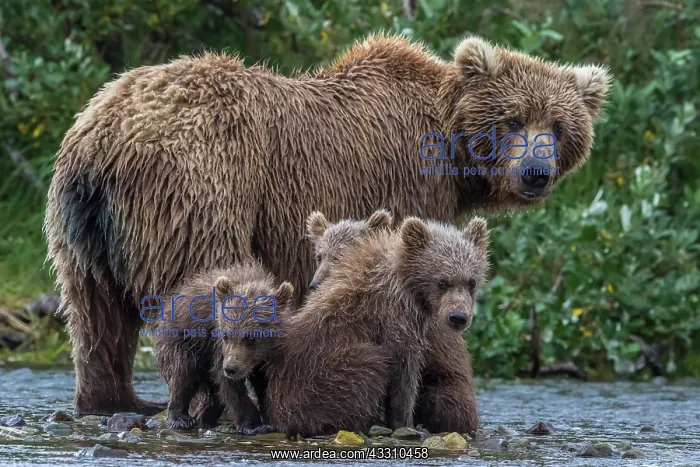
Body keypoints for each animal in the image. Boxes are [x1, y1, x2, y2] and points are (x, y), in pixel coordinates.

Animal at [152, 262, 294, 432]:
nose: (231, 368)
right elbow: (229, 385)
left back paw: (206, 416)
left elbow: (263, 382)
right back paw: (180, 418)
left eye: (251, 337)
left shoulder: (267, 355)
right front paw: (252, 424)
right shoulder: (219, 346)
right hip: (181, 340)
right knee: (183, 371)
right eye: (226, 335)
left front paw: (268, 416)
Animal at [265, 216, 490, 437]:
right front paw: (406, 423)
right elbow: (404, 372)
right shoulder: (396, 316)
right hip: (318, 378)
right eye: (442, 282)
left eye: (471, 282)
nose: (458, 317)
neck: (409, 284)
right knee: (369, 367)